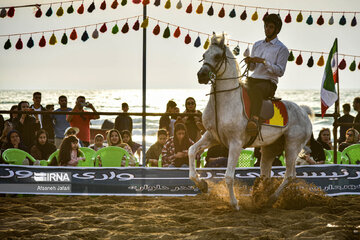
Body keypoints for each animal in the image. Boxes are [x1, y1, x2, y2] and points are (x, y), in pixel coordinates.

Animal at [188, 33, 312, 210]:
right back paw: (261, 198)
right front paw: (202, 185)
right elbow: (191, 151)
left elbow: (228, 176)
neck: (224, 102)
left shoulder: (235, 143)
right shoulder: (212, 137)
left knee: (290, 175)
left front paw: (234, 203)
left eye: (217, 56)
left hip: (292, 146)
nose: (202, 76)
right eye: (204, 55)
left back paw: (271, 199)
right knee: (265, 173)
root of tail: (303, 111)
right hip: (270, 148)